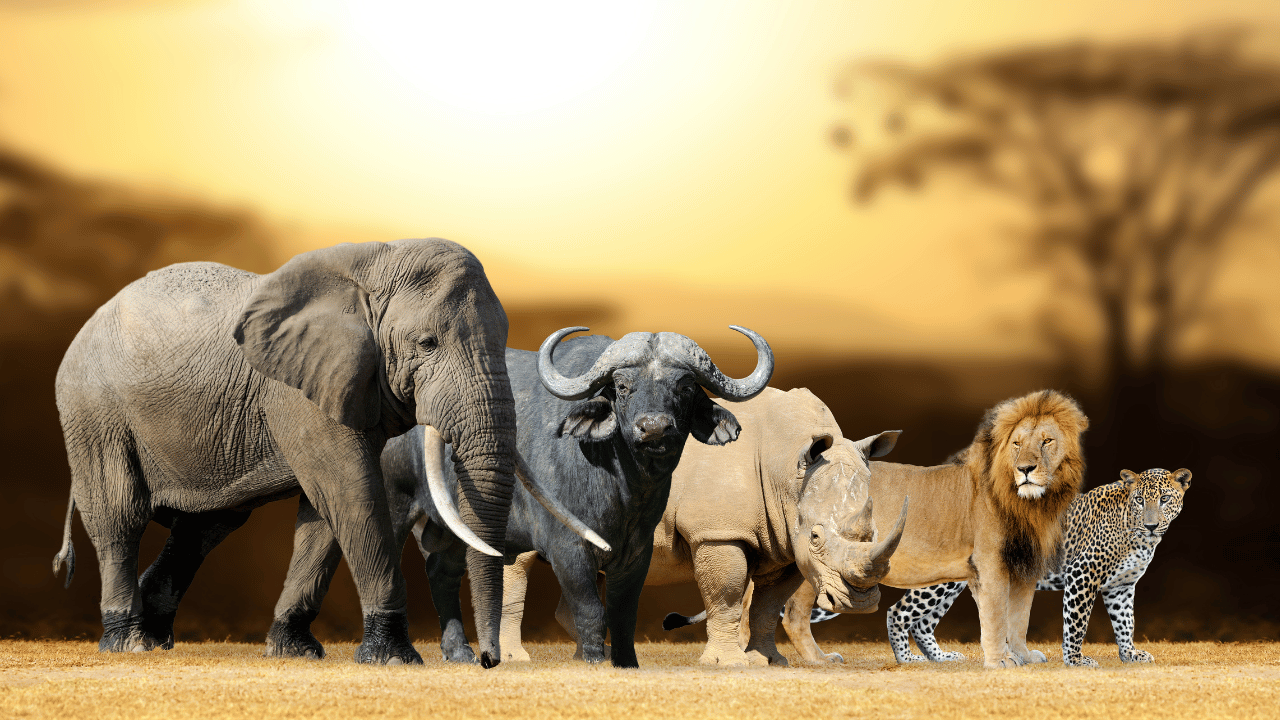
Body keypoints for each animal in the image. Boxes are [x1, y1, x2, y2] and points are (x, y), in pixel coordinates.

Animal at [51, 238, 598, 666]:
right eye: (426, 343)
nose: (488, 662)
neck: (377, 261)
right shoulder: (300, 389)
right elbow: (351, 492)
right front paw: (393, 657)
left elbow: (322, 515)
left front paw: (292, 650)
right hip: (93, 409)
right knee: (121, 515)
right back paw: (130, 642)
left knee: (207, 525)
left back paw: (156, 634)